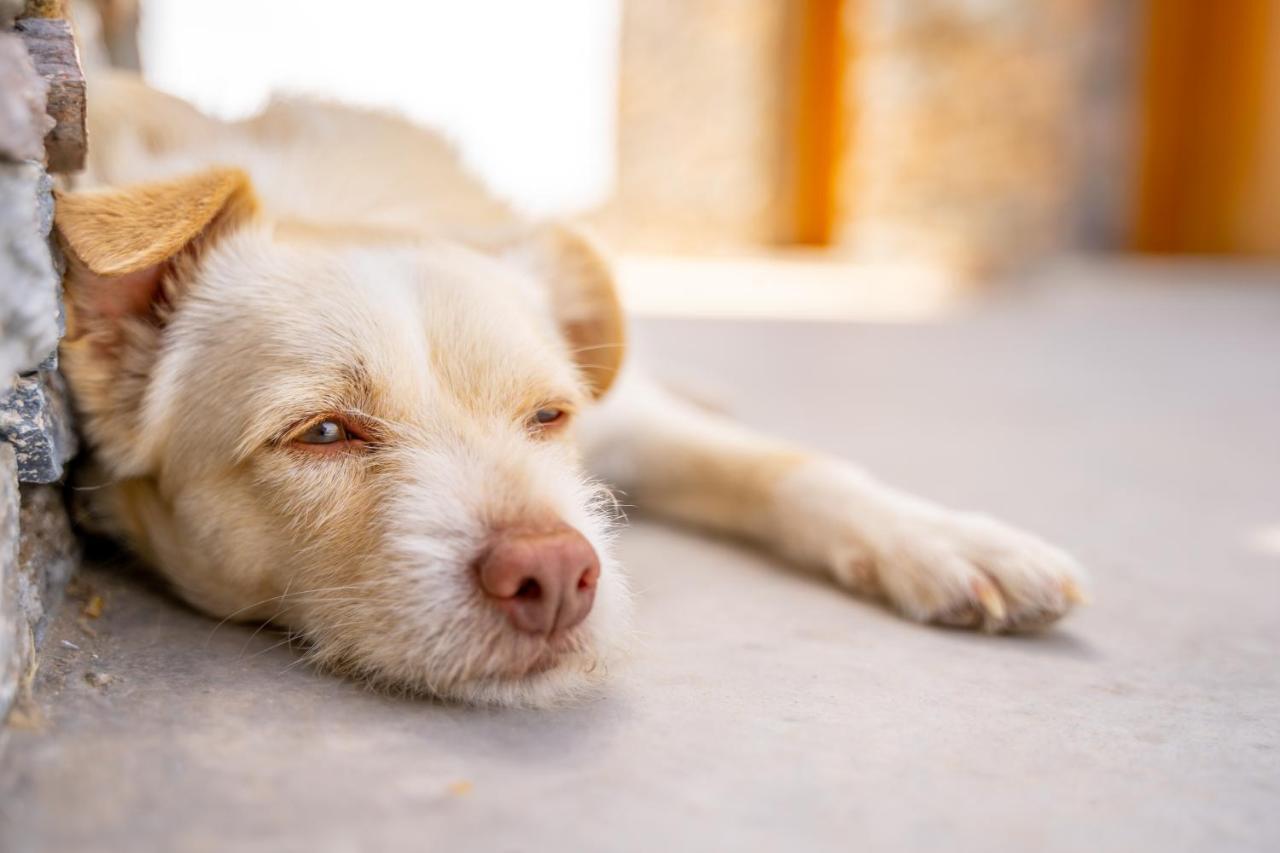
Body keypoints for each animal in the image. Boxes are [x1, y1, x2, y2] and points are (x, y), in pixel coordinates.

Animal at [52, 73, 1090, 701]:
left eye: (549, 415)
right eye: (323, 434)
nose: (555, 576)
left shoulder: (625, 417)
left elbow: (787, 467)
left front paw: (949, 540)